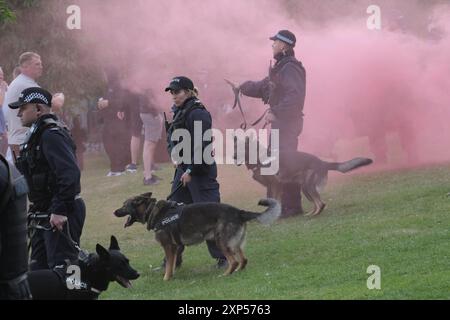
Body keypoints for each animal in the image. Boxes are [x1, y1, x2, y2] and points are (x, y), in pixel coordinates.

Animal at [114, 192, 280, 280]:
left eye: (124, 205)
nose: (114, 212)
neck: (152, 210)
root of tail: (239, 212)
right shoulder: (176, 247)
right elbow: (171, 264)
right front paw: (171, 275)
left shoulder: (168, 246)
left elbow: (168, 264)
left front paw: (166, 279)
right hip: (234, 243)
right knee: (243, 259)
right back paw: (238, 271)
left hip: (221, 242)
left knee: (233, 261)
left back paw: (226, 274)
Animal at [236, 136, 372, 216]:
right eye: (235, 149)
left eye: (241, 150)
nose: (233, 157)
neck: (260, 157)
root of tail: (322, 162)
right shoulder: (270, 186)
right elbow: (270, 199)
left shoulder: (276, 184)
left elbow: (274, 199)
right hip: (305, 188)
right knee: (318, 203)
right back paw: (310, 214)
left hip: (308, 186)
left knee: (321, 204)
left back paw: (313, 216)